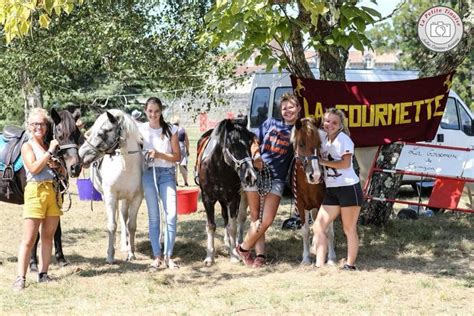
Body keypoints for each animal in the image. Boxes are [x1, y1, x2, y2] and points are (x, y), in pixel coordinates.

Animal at [0, 108, 82, 270]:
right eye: (60, 136)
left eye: (78, 135)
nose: (75, 168)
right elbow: (35, 235)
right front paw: (32, 263)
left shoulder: (58, 198)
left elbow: (57, 230)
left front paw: (61, 259)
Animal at [78, 110, 143, 262]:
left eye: (102, 132)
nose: (81, 154)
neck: (125, 167)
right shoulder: (110, 196)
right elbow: (112, 225)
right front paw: (110, 255)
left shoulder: (136, 198)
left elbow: (131, 225)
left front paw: (131, 253)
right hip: (106, 197)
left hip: (125, 198)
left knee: (123, 217)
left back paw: (125, 245)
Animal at [195, 117, 256, 266]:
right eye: (232, 144)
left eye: (250, 142)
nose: (250, 176)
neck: (218, 167)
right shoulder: (207, 198)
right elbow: (211, 226)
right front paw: (209, 256)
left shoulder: (234, 198)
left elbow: (232, 226)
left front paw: (234, 255)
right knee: (224, 217)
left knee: (236, 219)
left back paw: (235, 244)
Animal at [290, 117, 336, 266]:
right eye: (301, 144)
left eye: (319, 144)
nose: (315, 176)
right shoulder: (300, 205)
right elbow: (305, 231)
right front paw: (306, 258)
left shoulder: (325, 203)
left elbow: (328, 230)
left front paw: (331, 258)